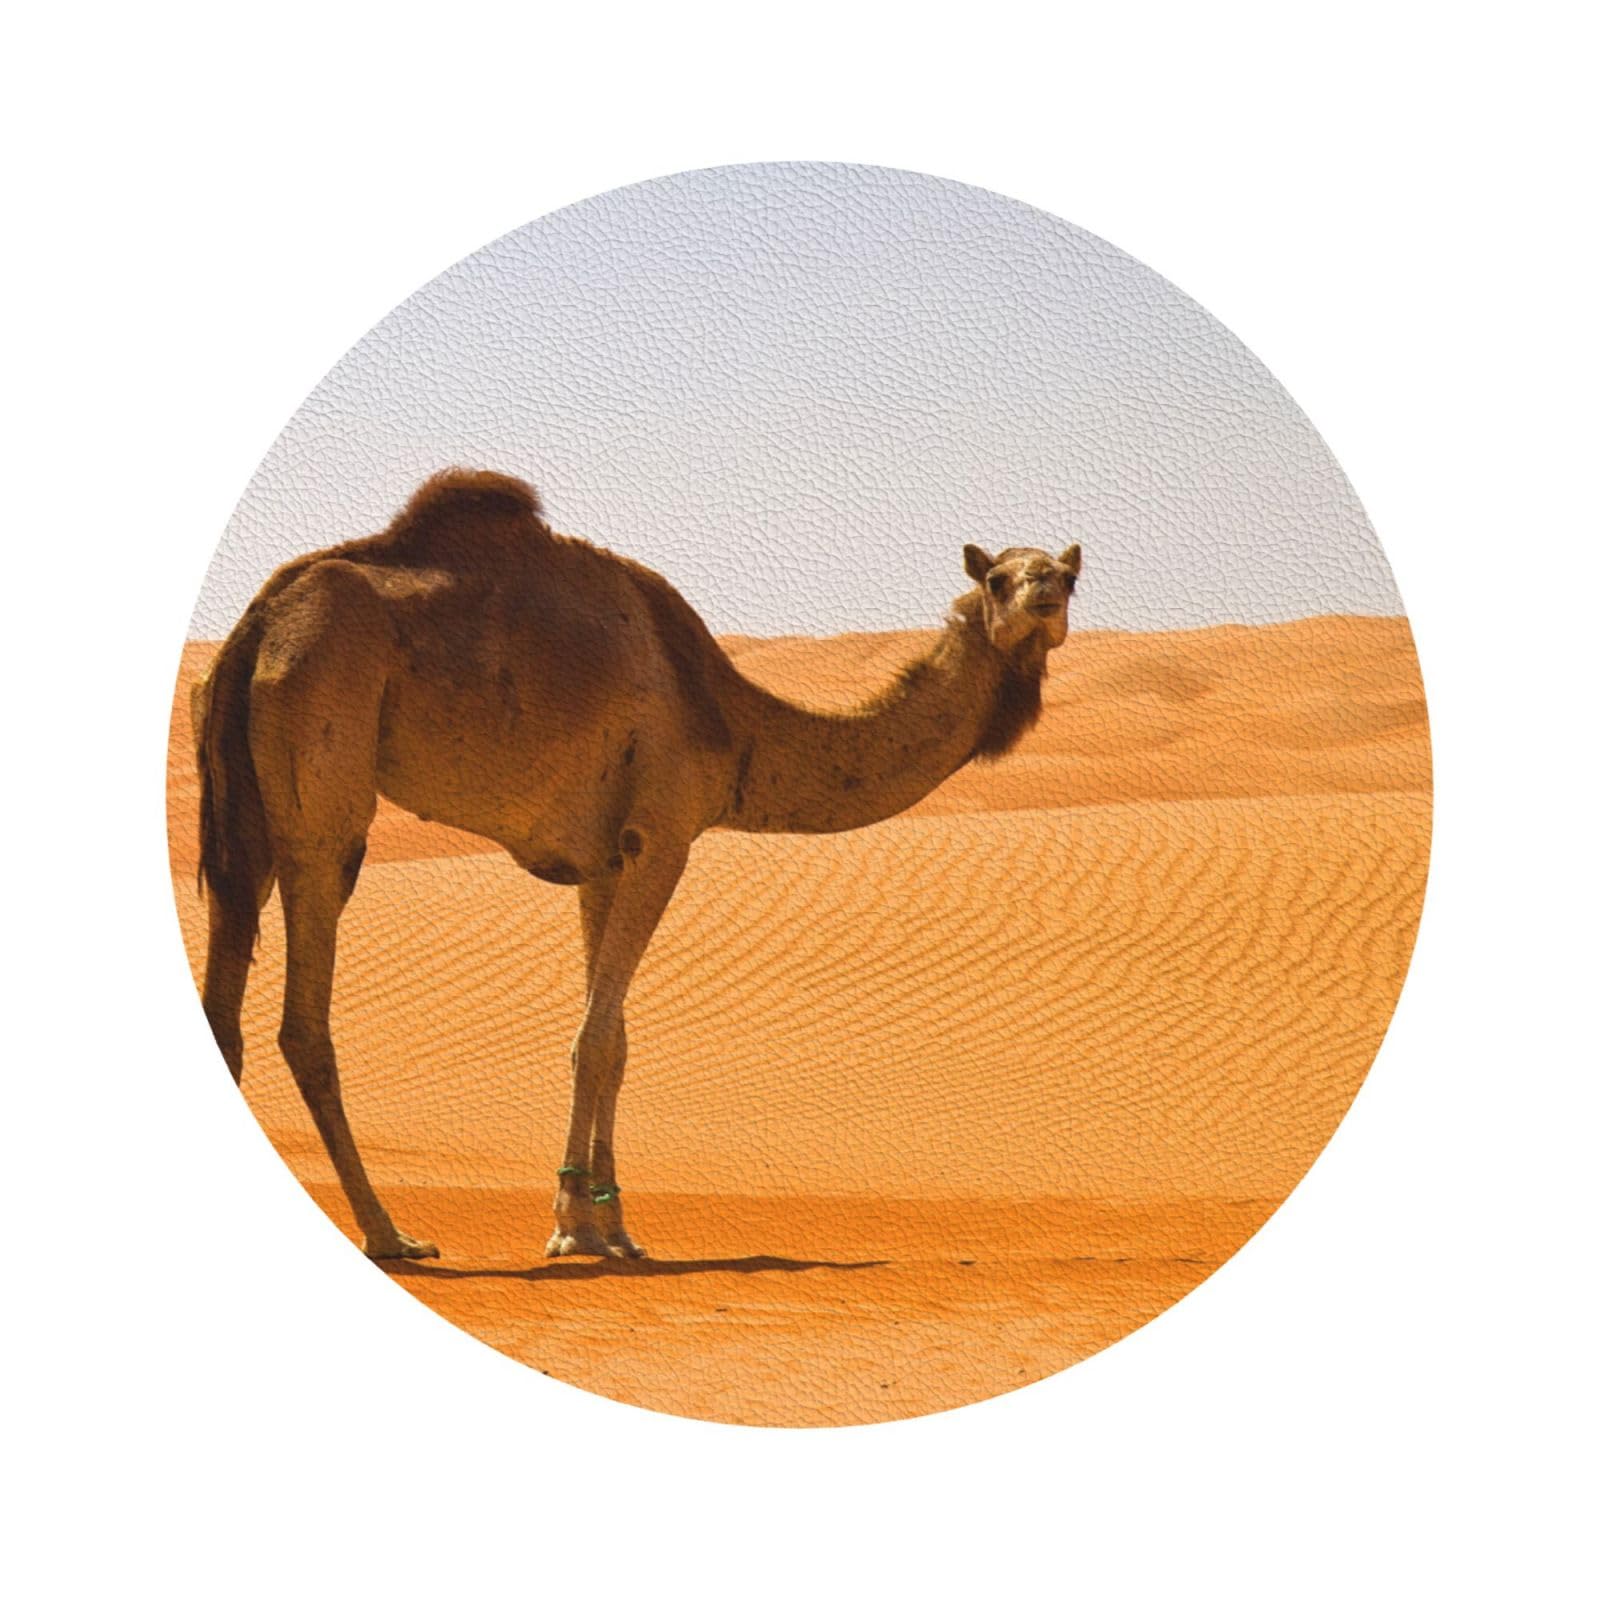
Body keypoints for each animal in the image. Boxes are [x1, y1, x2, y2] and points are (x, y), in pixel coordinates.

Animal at [194, 470, 1082, 1261]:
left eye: (1069, 575)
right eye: (999, 577)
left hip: (248, 807)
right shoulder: (664, 834)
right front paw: (570, 1228)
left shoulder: (601, 862)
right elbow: (593, 1038)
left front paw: (612, 1225)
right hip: (324, 759)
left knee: (226, 997)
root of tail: (260, 621)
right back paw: (391, 1233)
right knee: (305, 1013)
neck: (733, 724)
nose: (1044, 595)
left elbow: (614, 1039)